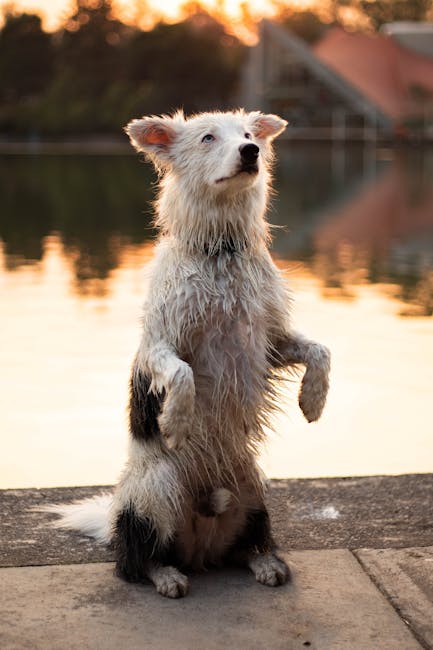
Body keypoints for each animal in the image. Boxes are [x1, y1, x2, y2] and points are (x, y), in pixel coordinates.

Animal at [45, 107, 330, 596]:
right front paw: (175, 420)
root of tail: (199, 549)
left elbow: (319, 350)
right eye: (208, 137)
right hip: (157, 489)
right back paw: (165, 574)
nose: (251, 151)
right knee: (134, 559)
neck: (221, 250)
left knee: (246, 543)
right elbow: (182, 373)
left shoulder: (269, 341)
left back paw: (265, 563)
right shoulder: (160, 343)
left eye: (249, 134)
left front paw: (312, 400)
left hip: (253, 487)